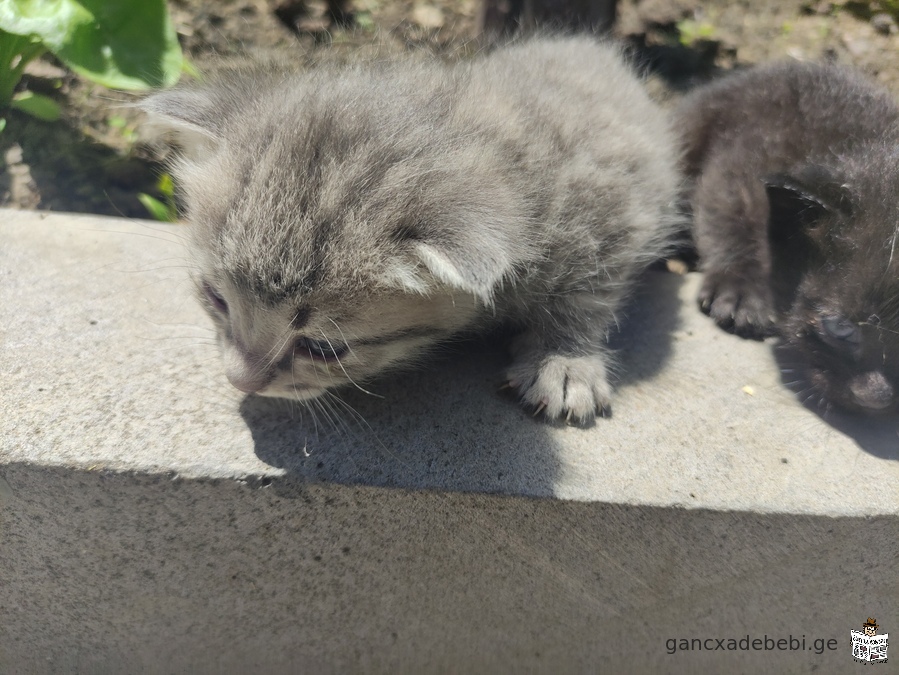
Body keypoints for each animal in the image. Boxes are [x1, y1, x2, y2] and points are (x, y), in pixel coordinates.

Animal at [142, 37, 676, 422]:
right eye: (215, 298)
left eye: (323, 348)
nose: (241, 380)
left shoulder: (613, 210)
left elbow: (588, 293)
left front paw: (565, 362)